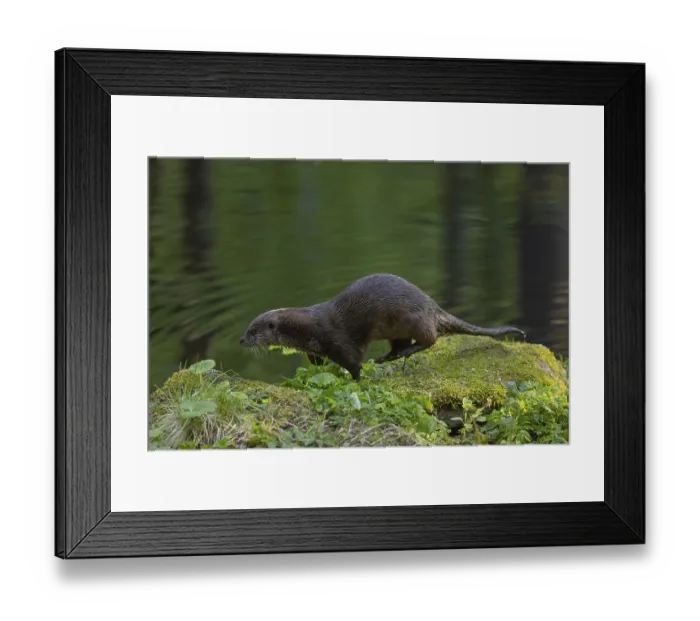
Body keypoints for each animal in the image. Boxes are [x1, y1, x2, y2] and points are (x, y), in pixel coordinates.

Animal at [239, 273, 526, 382]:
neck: (308, 329)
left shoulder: (338, 340)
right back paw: (387, 357)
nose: (241, 341)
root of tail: (432, 306)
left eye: (252, 330)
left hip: (414, 319)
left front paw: (356, 380)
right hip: (397, 330)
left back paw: (403, 353)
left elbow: (353, 362)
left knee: (430, 339)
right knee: (402, 344)